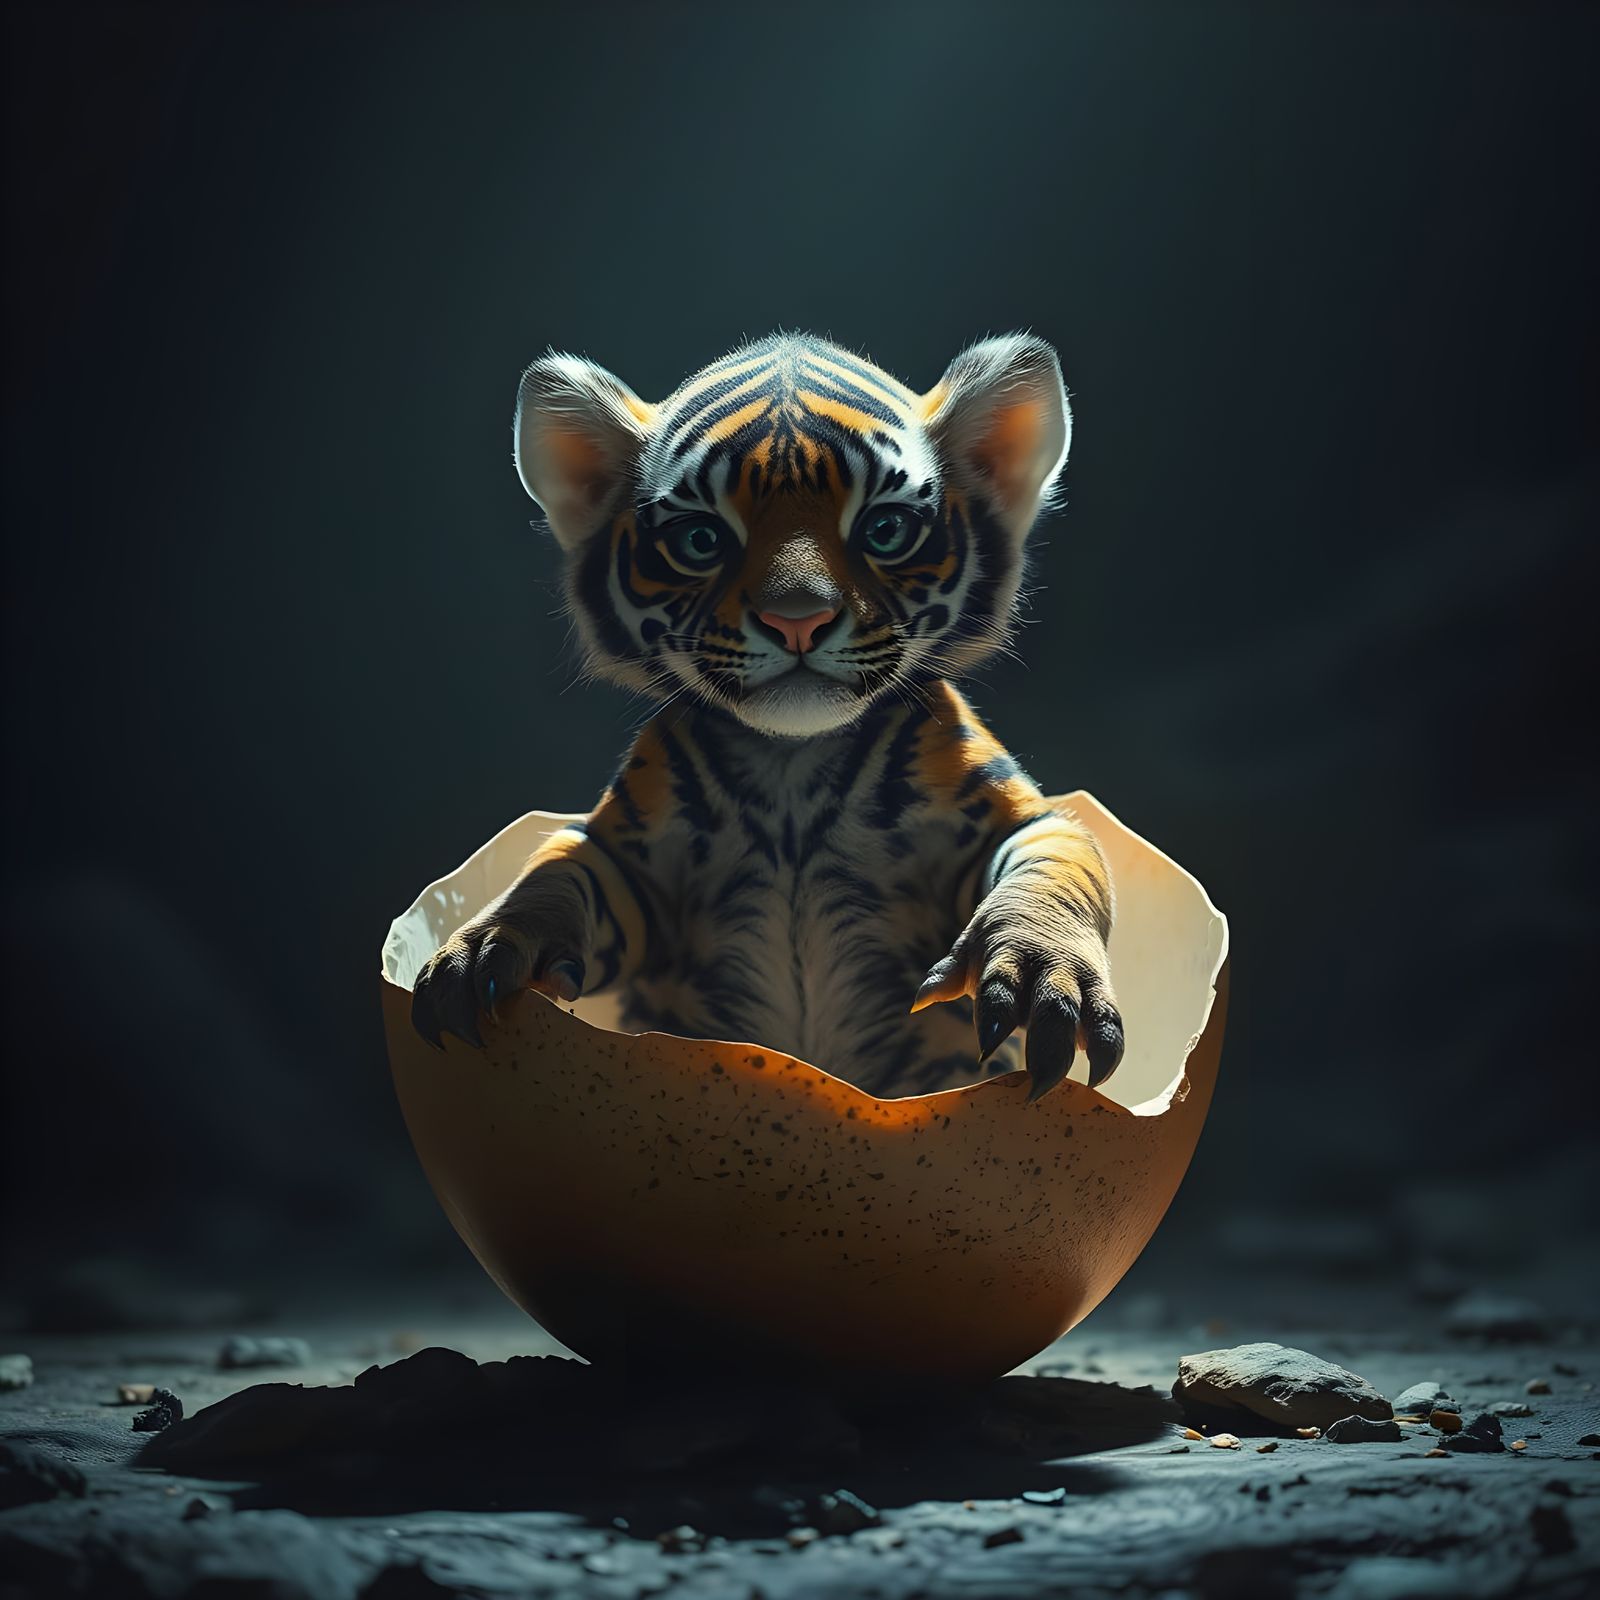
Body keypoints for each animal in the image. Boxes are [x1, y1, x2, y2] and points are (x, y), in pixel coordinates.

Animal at [411, 331, 1124, 1100]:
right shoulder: (625, 861)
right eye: (701, 540)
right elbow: (556, 874)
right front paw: (485, 948)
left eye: (885, 528)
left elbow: (1050, 872)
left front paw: (1039, 974)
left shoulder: (1016, 817)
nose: (798, 619)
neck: (793, 765)